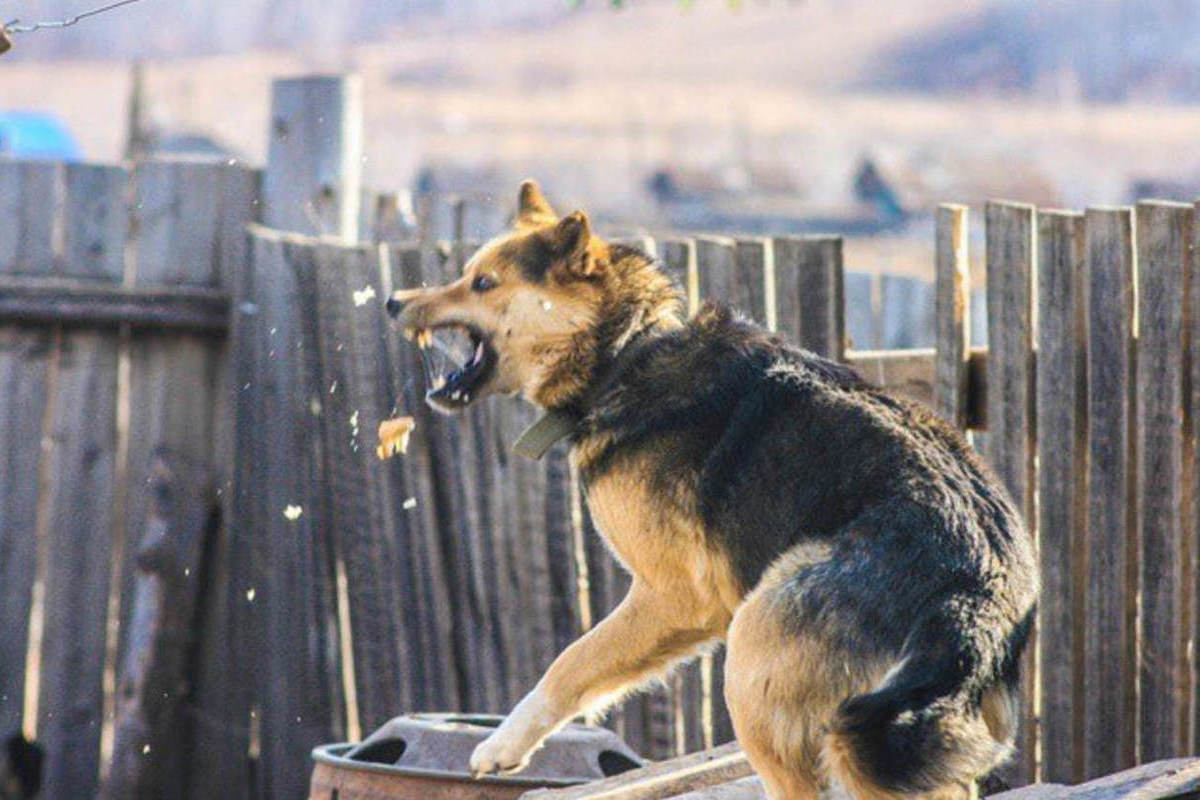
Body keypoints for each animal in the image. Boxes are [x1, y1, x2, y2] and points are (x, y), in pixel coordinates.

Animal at [388, 183, 1036, 800]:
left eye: (483, 283)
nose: (394, 301)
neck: (625, 352)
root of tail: (974, 597)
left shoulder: (671, 596)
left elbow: (572, 663)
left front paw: (503, 743)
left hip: (755, 656)